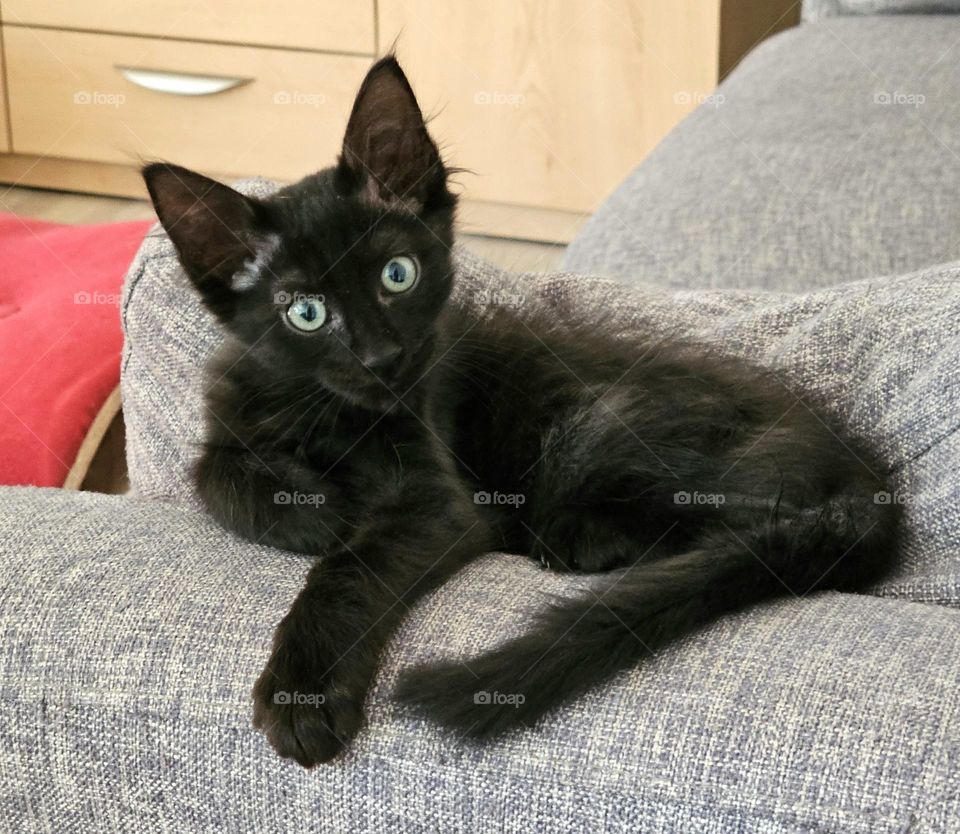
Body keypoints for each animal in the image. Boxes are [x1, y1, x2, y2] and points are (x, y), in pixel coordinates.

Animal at [144, 55, 900, 764]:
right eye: (306, 313)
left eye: (397, 275)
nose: (383, 358)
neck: (325, 412)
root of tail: (866, 478)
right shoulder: (231, 414)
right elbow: (212, 475)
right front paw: (310, 509)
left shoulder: (438, 499)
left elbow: (349, 571)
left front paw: (304, 691)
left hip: (601, 429)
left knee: (730, 527)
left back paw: (588, 540)